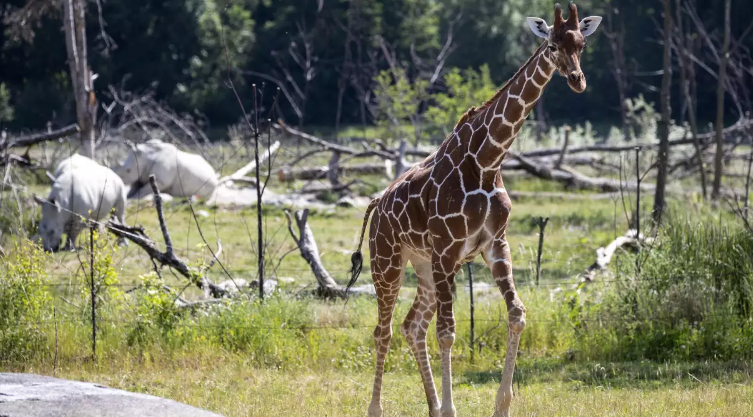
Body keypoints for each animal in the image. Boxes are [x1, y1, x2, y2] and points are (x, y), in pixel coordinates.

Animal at [346, 4, 600, 416]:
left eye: (581, 44)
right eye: (551, 44)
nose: (577, 80)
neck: (487, 160)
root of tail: (375, 204)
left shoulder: (494, 244)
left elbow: (517, 315)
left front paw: (501, 405)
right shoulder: (449, 249)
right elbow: (448, 332)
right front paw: (453, 408)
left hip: (425, 266)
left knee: (412, 325)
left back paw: (432, 406)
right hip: (388, 261)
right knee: (383, 330)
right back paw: (377, 408)